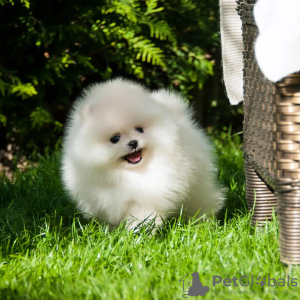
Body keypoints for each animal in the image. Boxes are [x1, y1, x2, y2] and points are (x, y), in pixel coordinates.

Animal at [61, 78, 223, 229]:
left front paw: (137, 234)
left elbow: (142, 219)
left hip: (198, 184)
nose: (133, 143)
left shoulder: (145, 199)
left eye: (140, 129)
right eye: (115, 139)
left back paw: (203, 222)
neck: (124, 175)